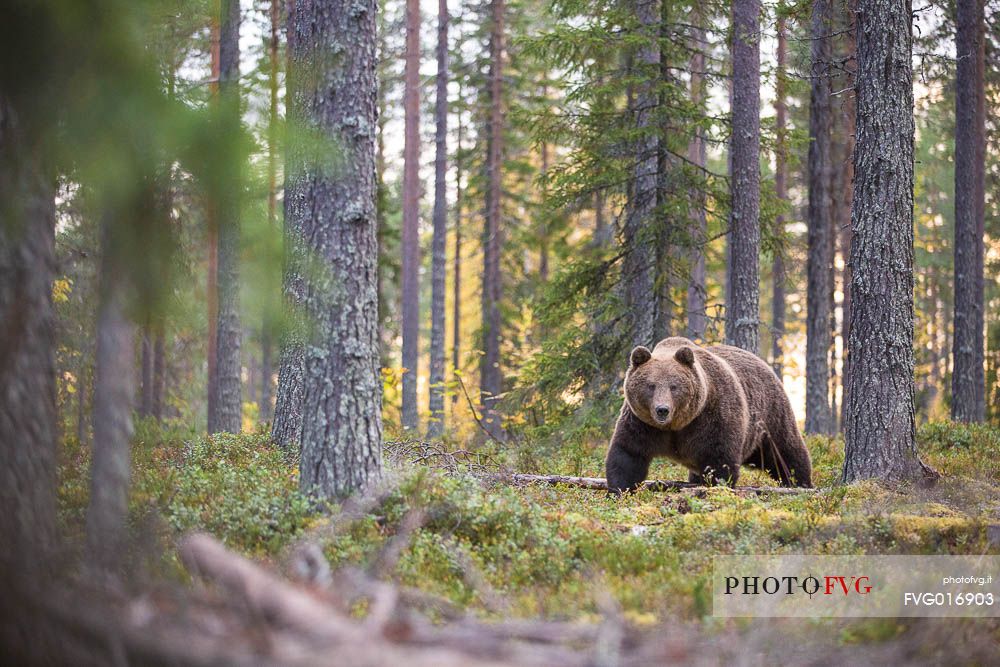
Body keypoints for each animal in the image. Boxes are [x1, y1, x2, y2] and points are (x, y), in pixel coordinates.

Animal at [600, 336, 812, 494]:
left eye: (674, 386)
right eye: (650, 386)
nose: (662, 409)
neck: (676, 425)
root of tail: (763, 363)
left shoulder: (711, 417)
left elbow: (719, 458)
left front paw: (715, 487)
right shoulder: (642, 423)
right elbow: (628, 454)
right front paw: (619, 490)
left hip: (769, 416)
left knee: (785, 451)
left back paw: (800, 483)